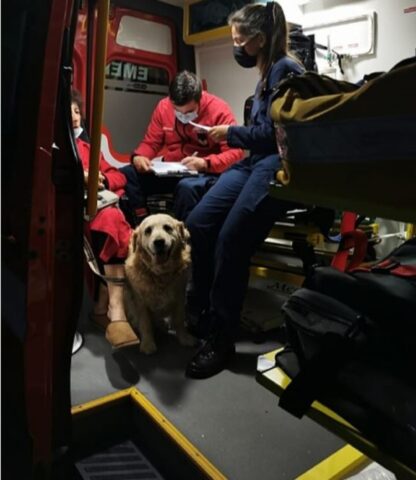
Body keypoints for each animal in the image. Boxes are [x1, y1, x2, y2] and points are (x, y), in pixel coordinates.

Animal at [124, 214, 196, 352]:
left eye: (167, 228)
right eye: (148, 230)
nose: (159, 242)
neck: (160, 275)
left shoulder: (180, 297)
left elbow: (179, 320)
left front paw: (184, 338)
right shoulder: (140, 301)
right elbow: (145, 323)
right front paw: (147, 344)